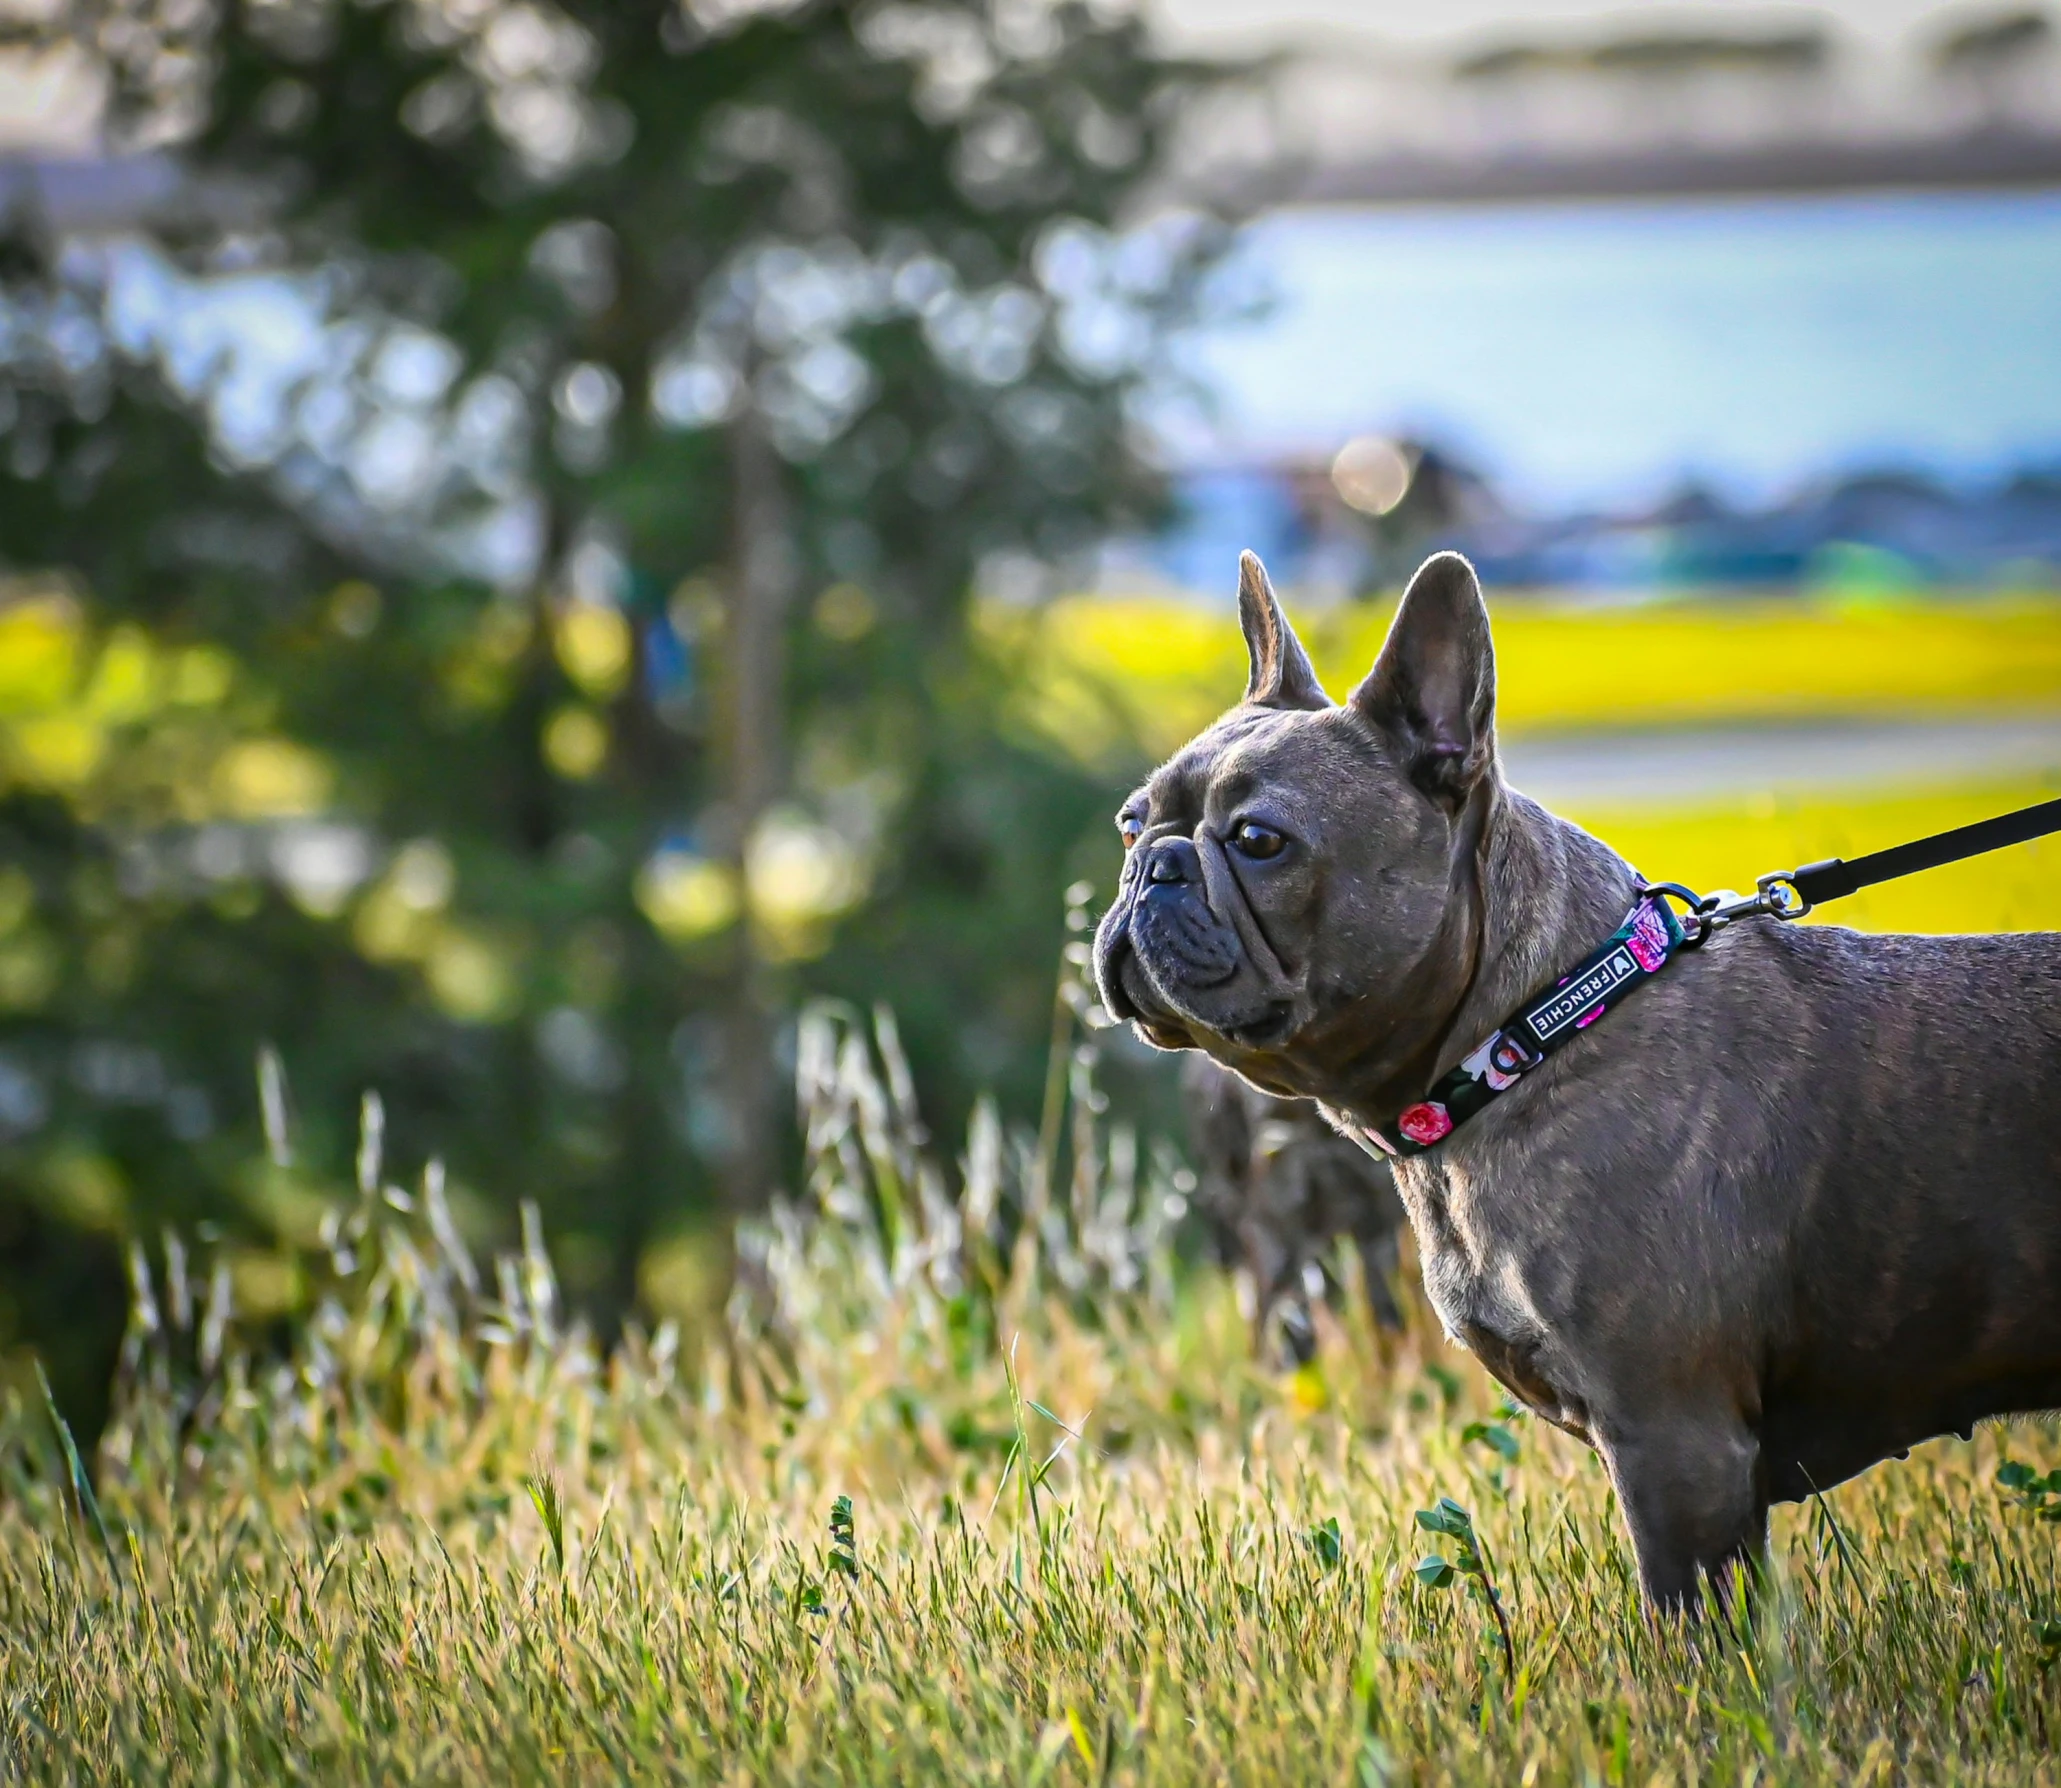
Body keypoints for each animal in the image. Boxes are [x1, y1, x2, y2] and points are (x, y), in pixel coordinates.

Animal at [1096, 543, 2061, 1606]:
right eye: (1131, 823)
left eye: (1259, 841)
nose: (1152, 867)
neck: (1529, 1030)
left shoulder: (1675, 1442)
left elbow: (1690, 1616)